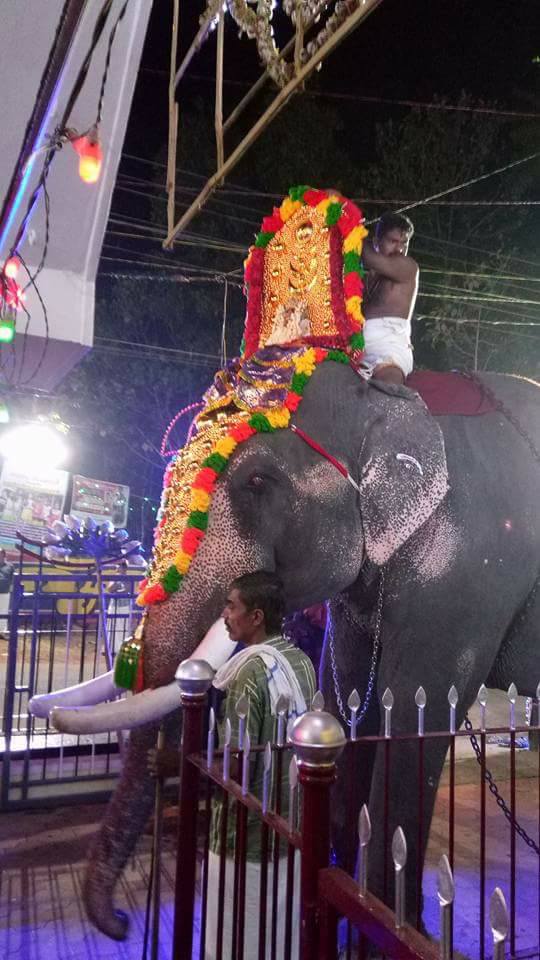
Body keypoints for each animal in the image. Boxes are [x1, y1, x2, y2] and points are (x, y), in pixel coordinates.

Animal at [28, 186, 540, 936]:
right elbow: (354, 693)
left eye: (257, 483)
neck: (387, 401)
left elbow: (415, 703)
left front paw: (392, 925)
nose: (119, 922)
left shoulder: (467, 557)